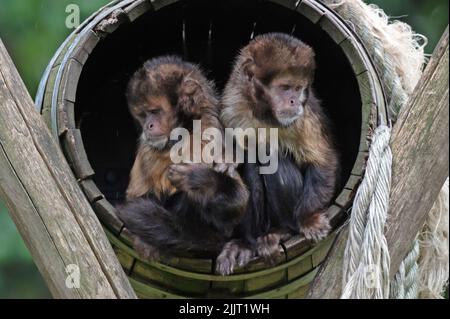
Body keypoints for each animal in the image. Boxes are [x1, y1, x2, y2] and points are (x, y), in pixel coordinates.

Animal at [116, 56, 250, 262]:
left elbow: (238, 204)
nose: (148, 126)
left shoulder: (208, 129)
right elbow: (135, 198)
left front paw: (200, 181)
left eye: (154, 111)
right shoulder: (147, 148)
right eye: (143, 115)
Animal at [216, 33, 340, 276]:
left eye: (298, 88)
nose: (293, 101)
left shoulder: (303, 116)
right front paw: (228, 159)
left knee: (272, 158)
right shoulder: (232, 105)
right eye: (284, 87)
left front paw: (309, 219)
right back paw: (248, 242)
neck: (263, 114)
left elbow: (323, 162)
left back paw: (282, 230)